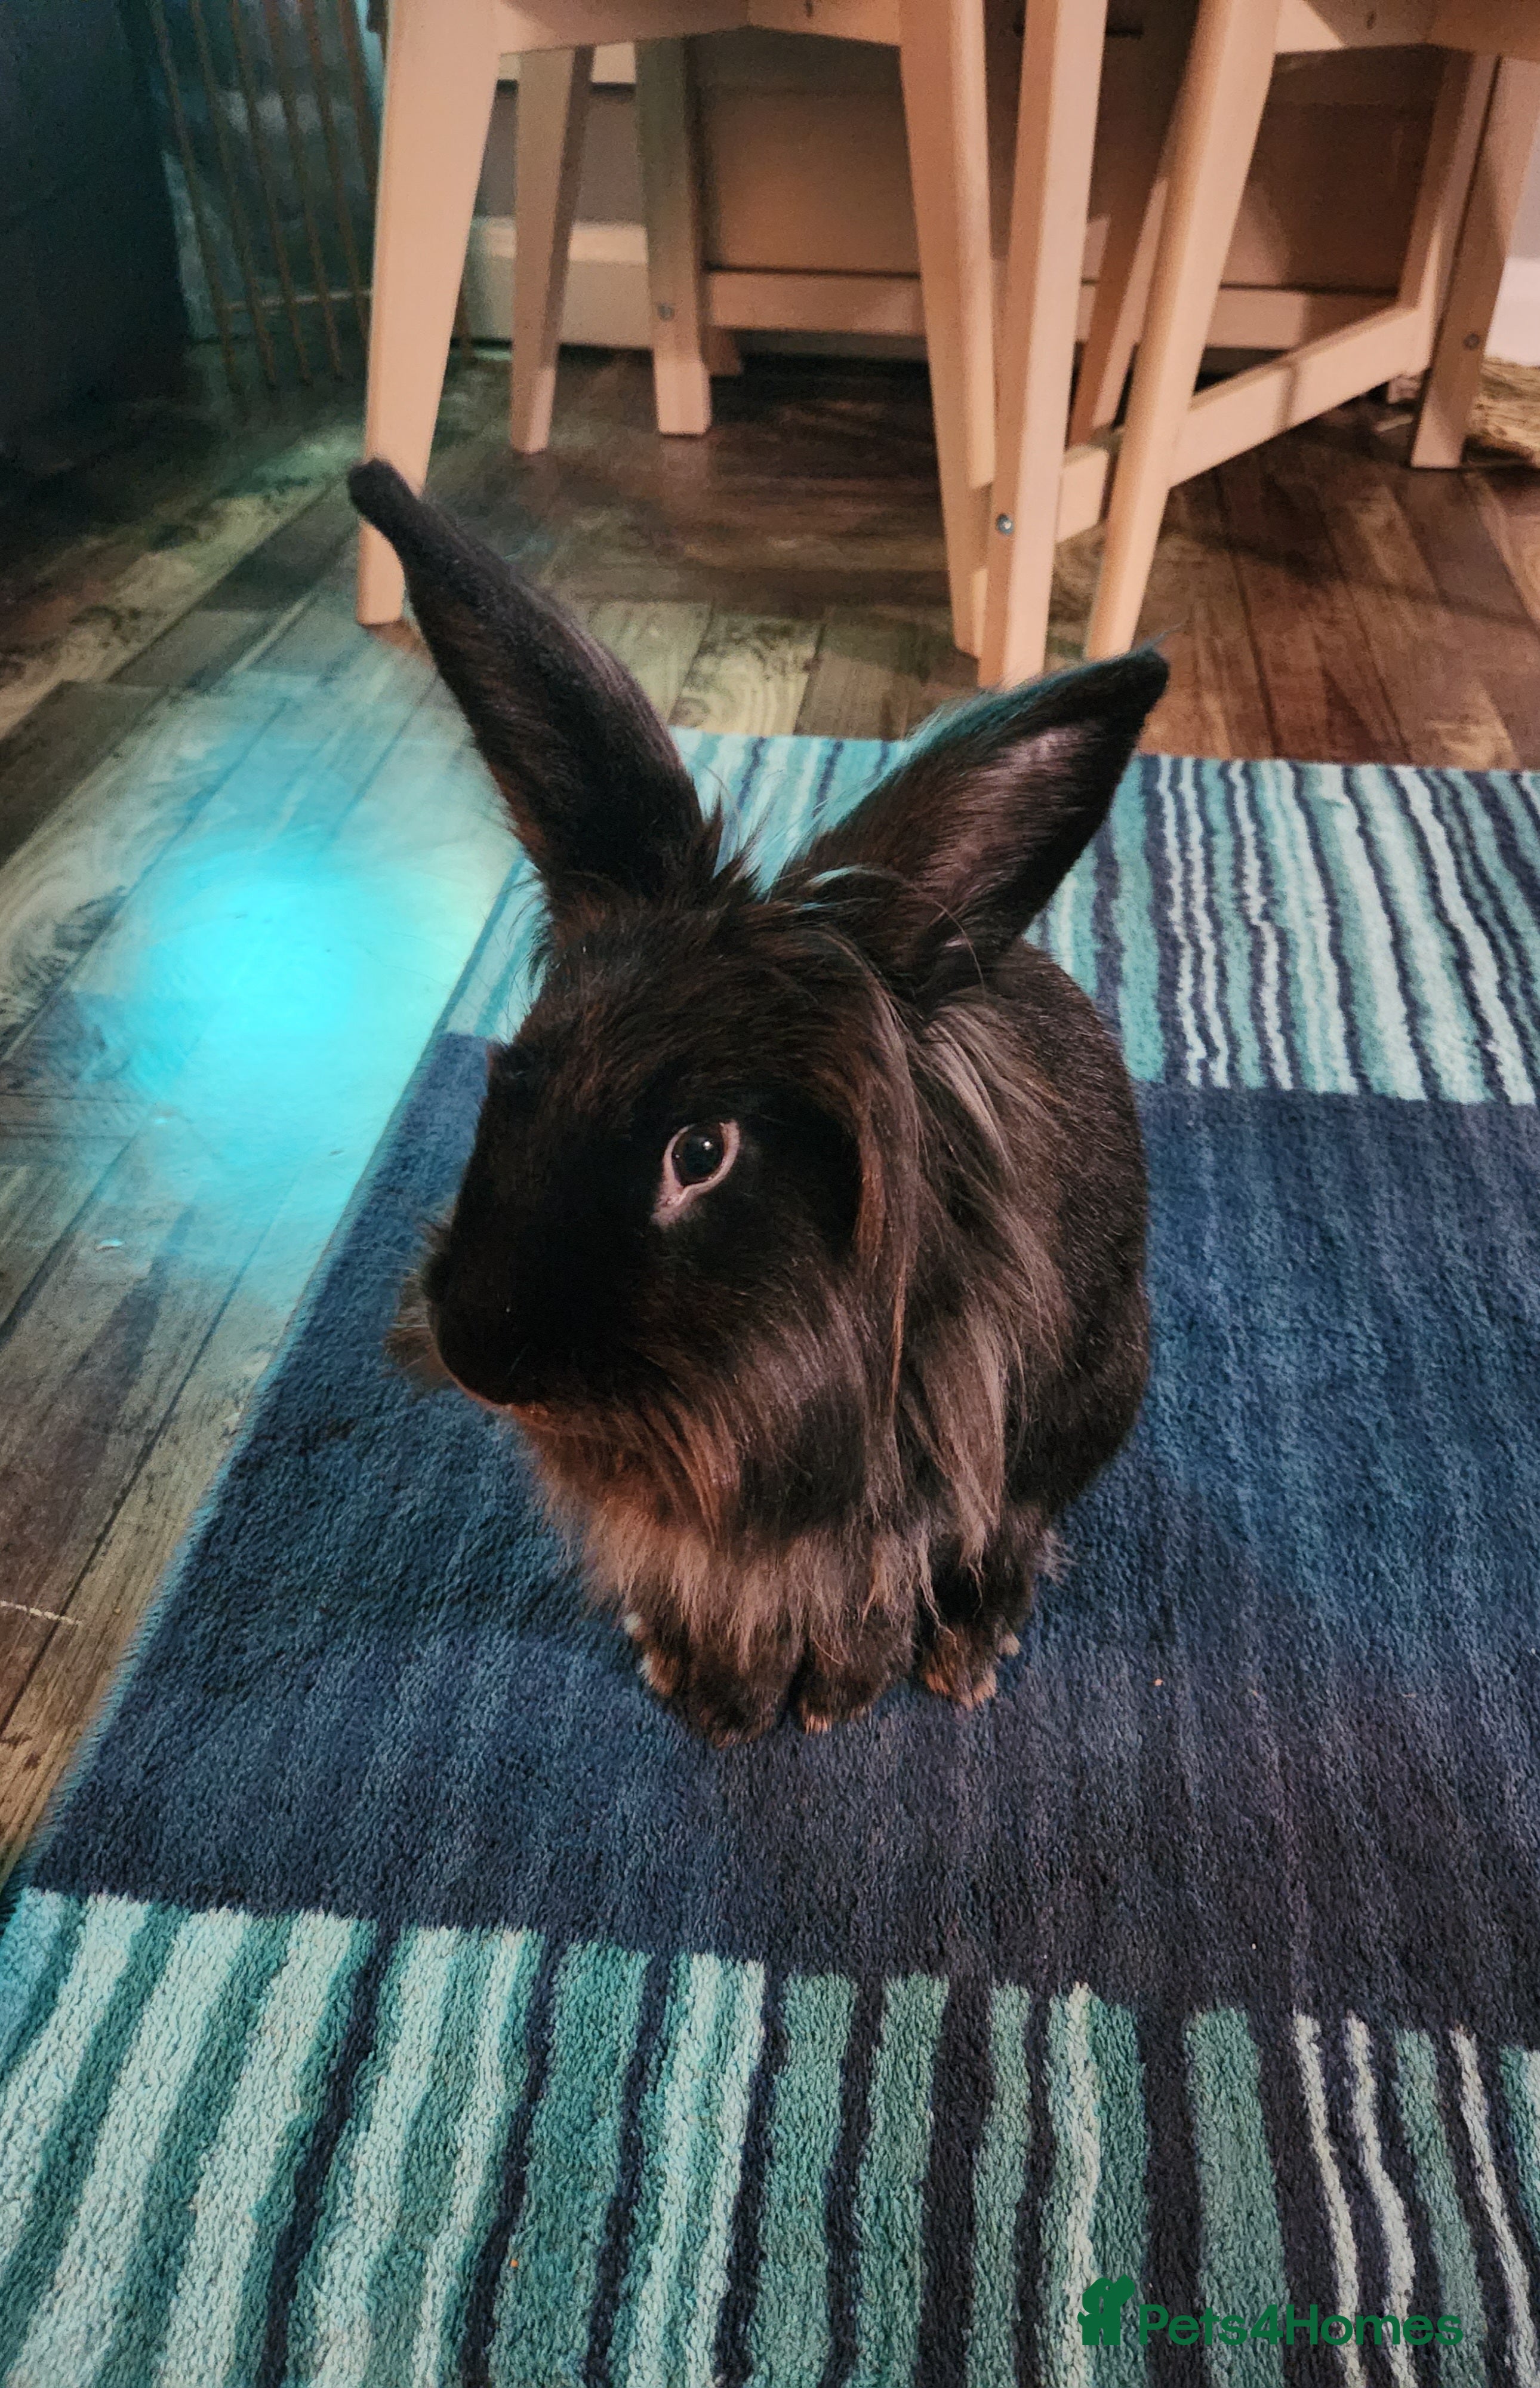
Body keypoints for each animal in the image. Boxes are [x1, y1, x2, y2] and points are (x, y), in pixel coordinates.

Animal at [350, 460, 1167, 1746]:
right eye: (510, 1073)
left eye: (701, 1151)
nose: (483, 1353)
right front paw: (710, 1688)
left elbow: (872, 1591)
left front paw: (831, 1698)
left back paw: (967, 1653)